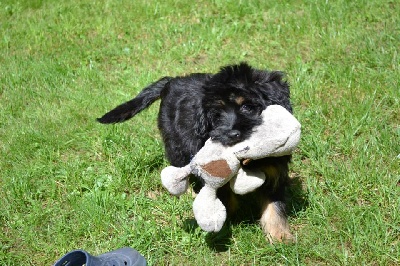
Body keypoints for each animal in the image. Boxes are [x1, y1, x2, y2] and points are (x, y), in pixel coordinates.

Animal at [98, 62, 294, 243]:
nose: (230, 135)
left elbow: (274, 204)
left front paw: (280, 235)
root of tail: (171, 81)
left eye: (247, 106)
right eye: (217, 114)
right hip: (176, 144)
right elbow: (224, 195)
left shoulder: (274, 169)